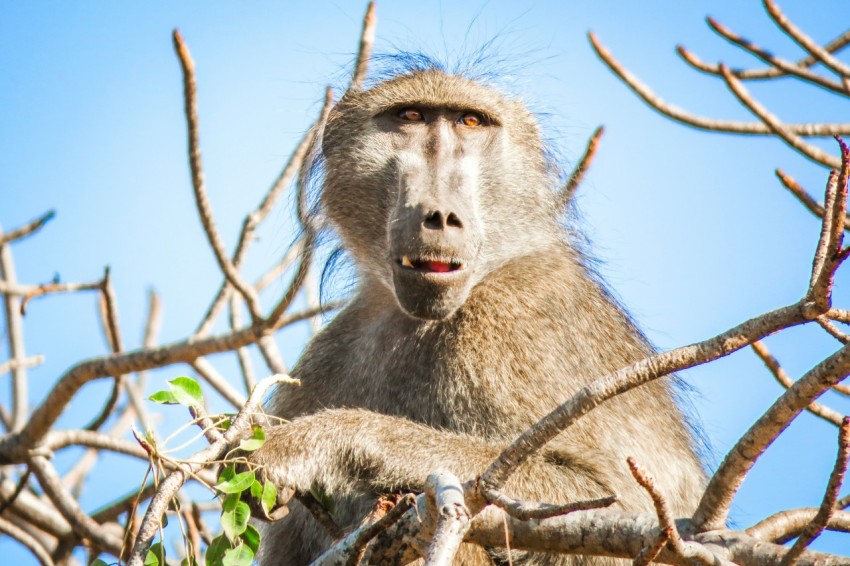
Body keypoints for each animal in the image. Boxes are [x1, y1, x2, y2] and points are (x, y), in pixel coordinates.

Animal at [242, 67, 706, 565]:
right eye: (410, 116)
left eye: (471, 122)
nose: (440, 215)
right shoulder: (330, 353)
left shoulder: (510, 328)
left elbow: (609, 504)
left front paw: (320, 441)